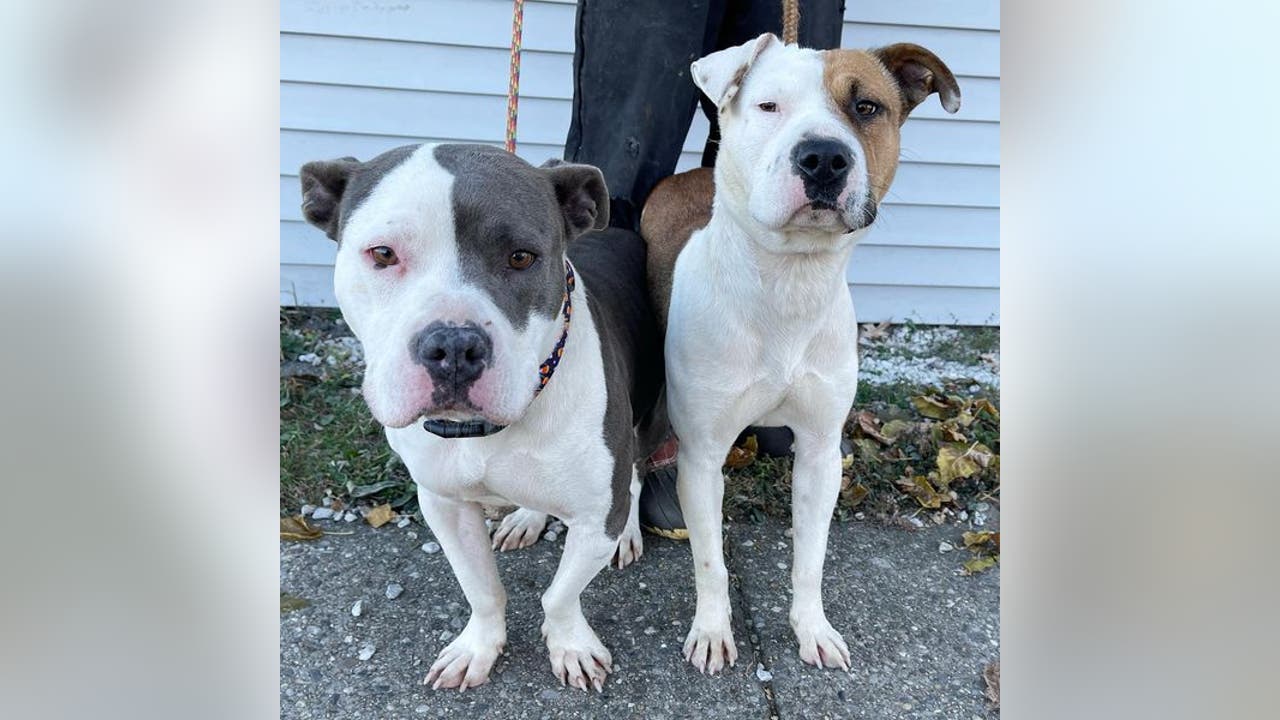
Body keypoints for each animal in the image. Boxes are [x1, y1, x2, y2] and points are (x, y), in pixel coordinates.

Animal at [298, 144, 660, 691]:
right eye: (383, 254)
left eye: (521, 257)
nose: (453, 346)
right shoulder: (443, 505)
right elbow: (481, 589)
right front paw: (478, 648)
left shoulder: (598, 517)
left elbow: (560, 595)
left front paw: (571, 645)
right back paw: (527, 517)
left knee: (637, 474)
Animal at [645, 35, 957, 671]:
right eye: (769, 106)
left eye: (867, 107)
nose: (823, 158)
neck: (787, 281)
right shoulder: (702, 456)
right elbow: (711, 560)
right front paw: (712, 631)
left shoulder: (818, 452)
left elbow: (811, 556)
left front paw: (812, 628)